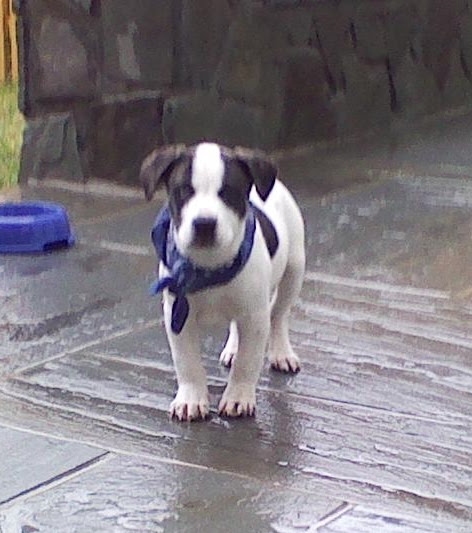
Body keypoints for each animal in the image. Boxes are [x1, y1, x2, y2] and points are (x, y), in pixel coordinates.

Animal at [140, 142, 305, 421]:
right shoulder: (178, 315)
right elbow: (187, 362)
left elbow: (248, 362)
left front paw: (238, 396)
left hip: (293, 270)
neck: (209, 266)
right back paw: (233, 348)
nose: (204, 224)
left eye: (228, 193)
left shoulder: (254, 316)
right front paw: (191, 398)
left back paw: (281, 352)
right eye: (184, 191)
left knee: (278, 315)